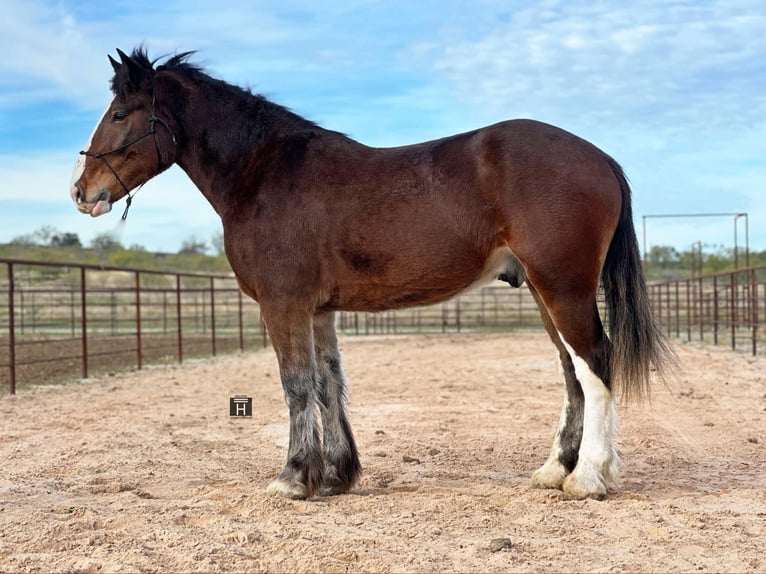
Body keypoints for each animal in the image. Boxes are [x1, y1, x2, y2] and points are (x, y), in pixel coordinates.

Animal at [70, 48, 675, 501]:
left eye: (120, 113)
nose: (81, 191)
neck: (264, 174)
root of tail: (599, 158)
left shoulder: (283, 305)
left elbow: (297, 385)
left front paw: (294, 478)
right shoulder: (318, 310)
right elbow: (328, 384)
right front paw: (338, 474)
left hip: (563, 287)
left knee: (595, 363)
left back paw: (590, 477)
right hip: (545, 293)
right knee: (572, 371)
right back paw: (556, 470)